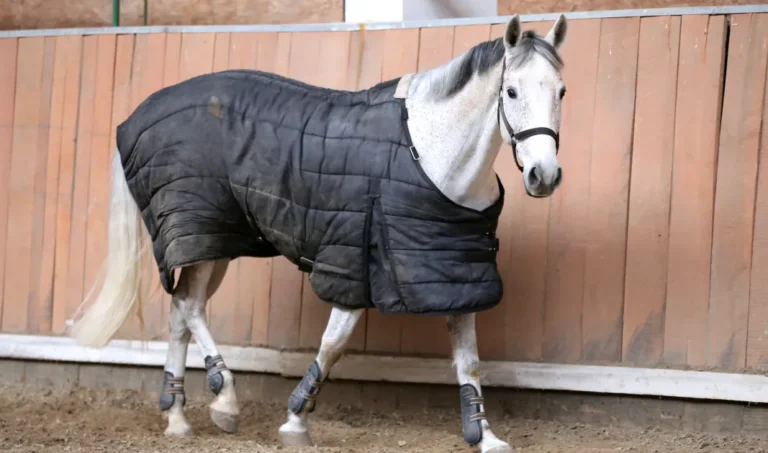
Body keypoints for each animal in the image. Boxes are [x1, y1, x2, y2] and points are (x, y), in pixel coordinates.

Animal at [70, 14, 567, 453]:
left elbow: (470, 361)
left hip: (211, 244)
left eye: (561, 90)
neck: (428, 153)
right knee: (190, 309)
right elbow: (333, 345)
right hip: (199, 238)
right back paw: (224, 399)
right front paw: (294, 422)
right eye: (511, 90)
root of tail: (136, 117)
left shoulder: (453, 272)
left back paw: (177, 417)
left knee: (180, 314)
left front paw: (485, 436)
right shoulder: (352, 266)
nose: (544, 176)